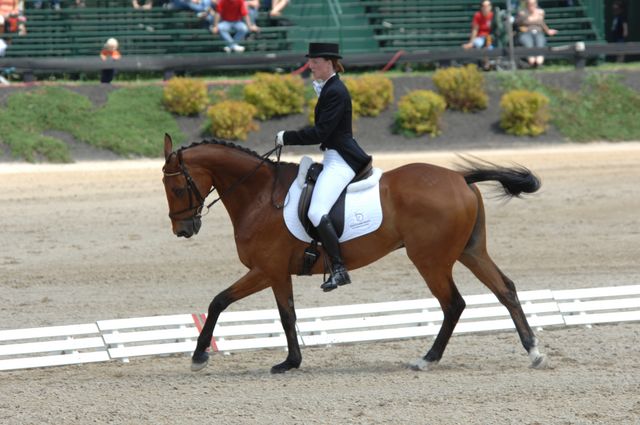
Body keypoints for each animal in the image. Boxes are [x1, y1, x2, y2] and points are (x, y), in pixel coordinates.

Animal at [162, 134, 548, 372]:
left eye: (178, 188)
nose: (183, 230)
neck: (259, 196)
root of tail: (459, 179)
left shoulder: (265, 269)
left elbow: (219, 301)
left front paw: (198, 356)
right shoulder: (277, 274)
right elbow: (287, 316)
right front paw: (291, 362)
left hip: (430, 260)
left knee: (453, 304)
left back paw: (427, 359)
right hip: (470, 251)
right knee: (505, 289)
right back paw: (533, 351)